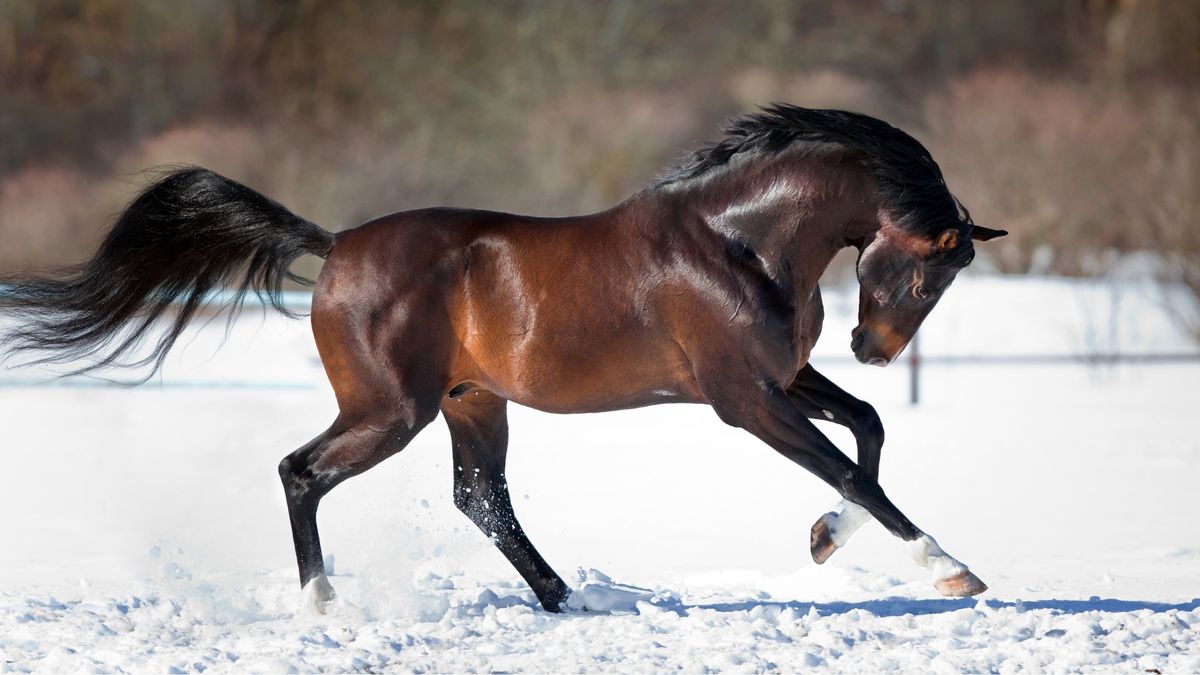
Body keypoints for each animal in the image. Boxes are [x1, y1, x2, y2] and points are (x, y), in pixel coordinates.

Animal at [2, 103, 1003, 610]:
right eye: (929, 271)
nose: (873, 347)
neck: (738, 241)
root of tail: (336, 247)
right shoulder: (744, 397)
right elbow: (856, 466)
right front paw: (953, 570)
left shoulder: (784, 378)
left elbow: (867, 435)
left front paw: (825, 538)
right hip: (390, 411)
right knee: (301, 471)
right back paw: (324, 601)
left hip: (471, 400)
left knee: (479, 498)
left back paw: (569, 599)